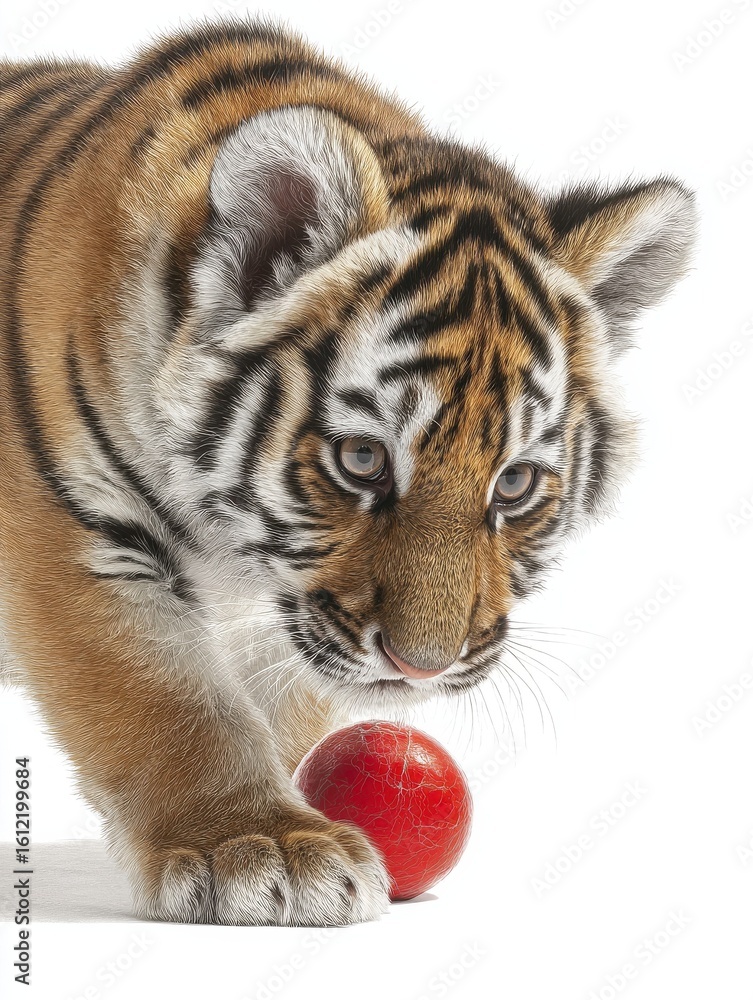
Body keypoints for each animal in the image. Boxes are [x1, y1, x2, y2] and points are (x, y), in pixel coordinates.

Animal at [0, 18, 697, 926]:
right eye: (361, 460)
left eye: (512, 485)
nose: (422, 667)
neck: (234, 557)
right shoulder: (75, 532)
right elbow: (169, 704)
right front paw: (255, 848)